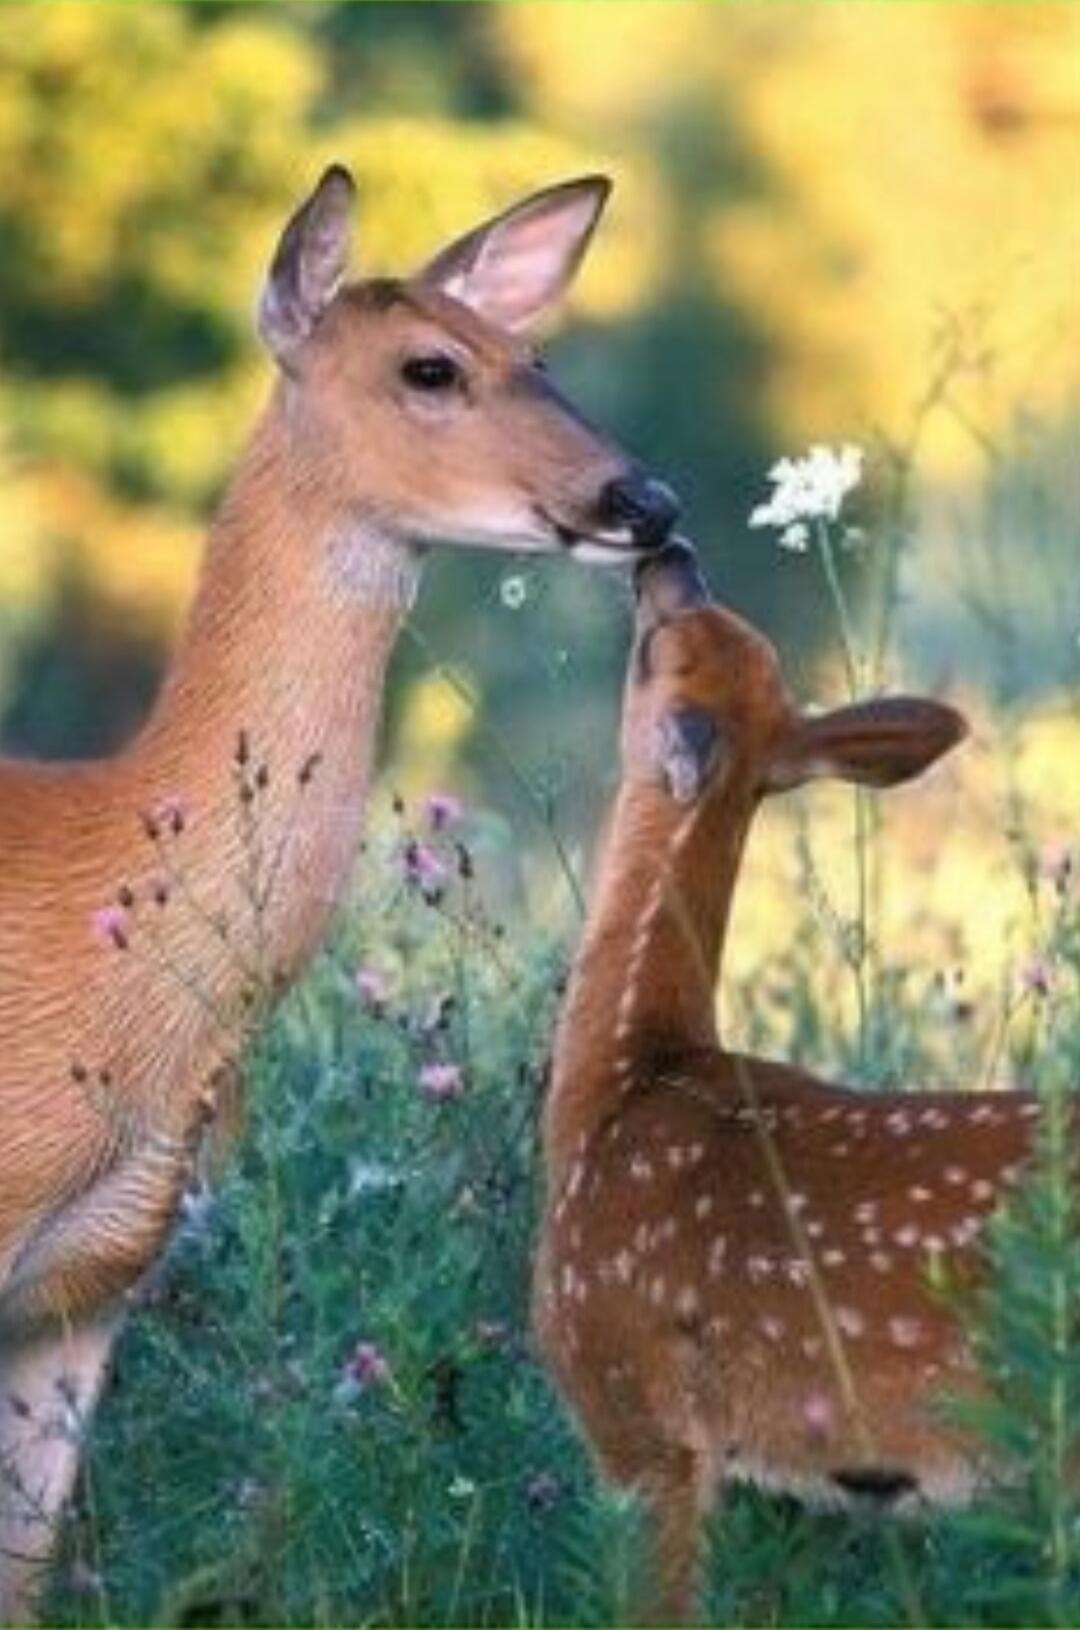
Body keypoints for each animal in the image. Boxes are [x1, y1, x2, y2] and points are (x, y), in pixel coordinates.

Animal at [533, 539, 1054, 1622]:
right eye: (738, 640)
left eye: (658, 650)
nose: (672, 553)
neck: (620, 1080)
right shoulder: (796, 1493)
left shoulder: (635, 1413)